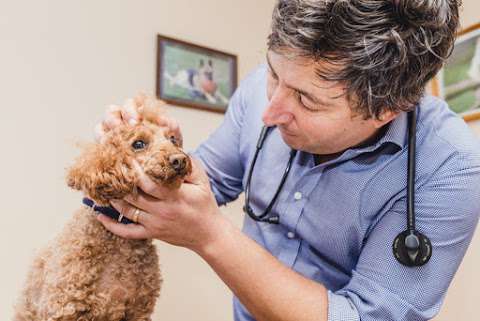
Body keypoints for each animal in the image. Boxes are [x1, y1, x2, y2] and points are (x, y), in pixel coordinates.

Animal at [13, 96, 190, 318]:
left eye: (173, 140)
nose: (180, 160)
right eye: (139, 144)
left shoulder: (138, 311)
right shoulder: (64, 306)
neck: (121, 243)